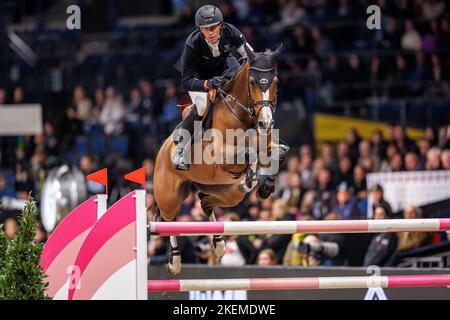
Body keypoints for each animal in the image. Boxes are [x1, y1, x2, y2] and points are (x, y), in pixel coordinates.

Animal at [153, 44, 284, 276]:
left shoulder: (269, 145)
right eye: (252, 81)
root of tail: (162, 150)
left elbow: (279, 152)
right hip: (168, 195)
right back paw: (175, 261)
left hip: (225, 193)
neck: (246, 115)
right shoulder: (221, 155)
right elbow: (251, 152)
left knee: (205, 202)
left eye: (275, 81)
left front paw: (265, 186)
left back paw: (219, 243)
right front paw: (249, 179)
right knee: (167, 219)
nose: (266, 123)